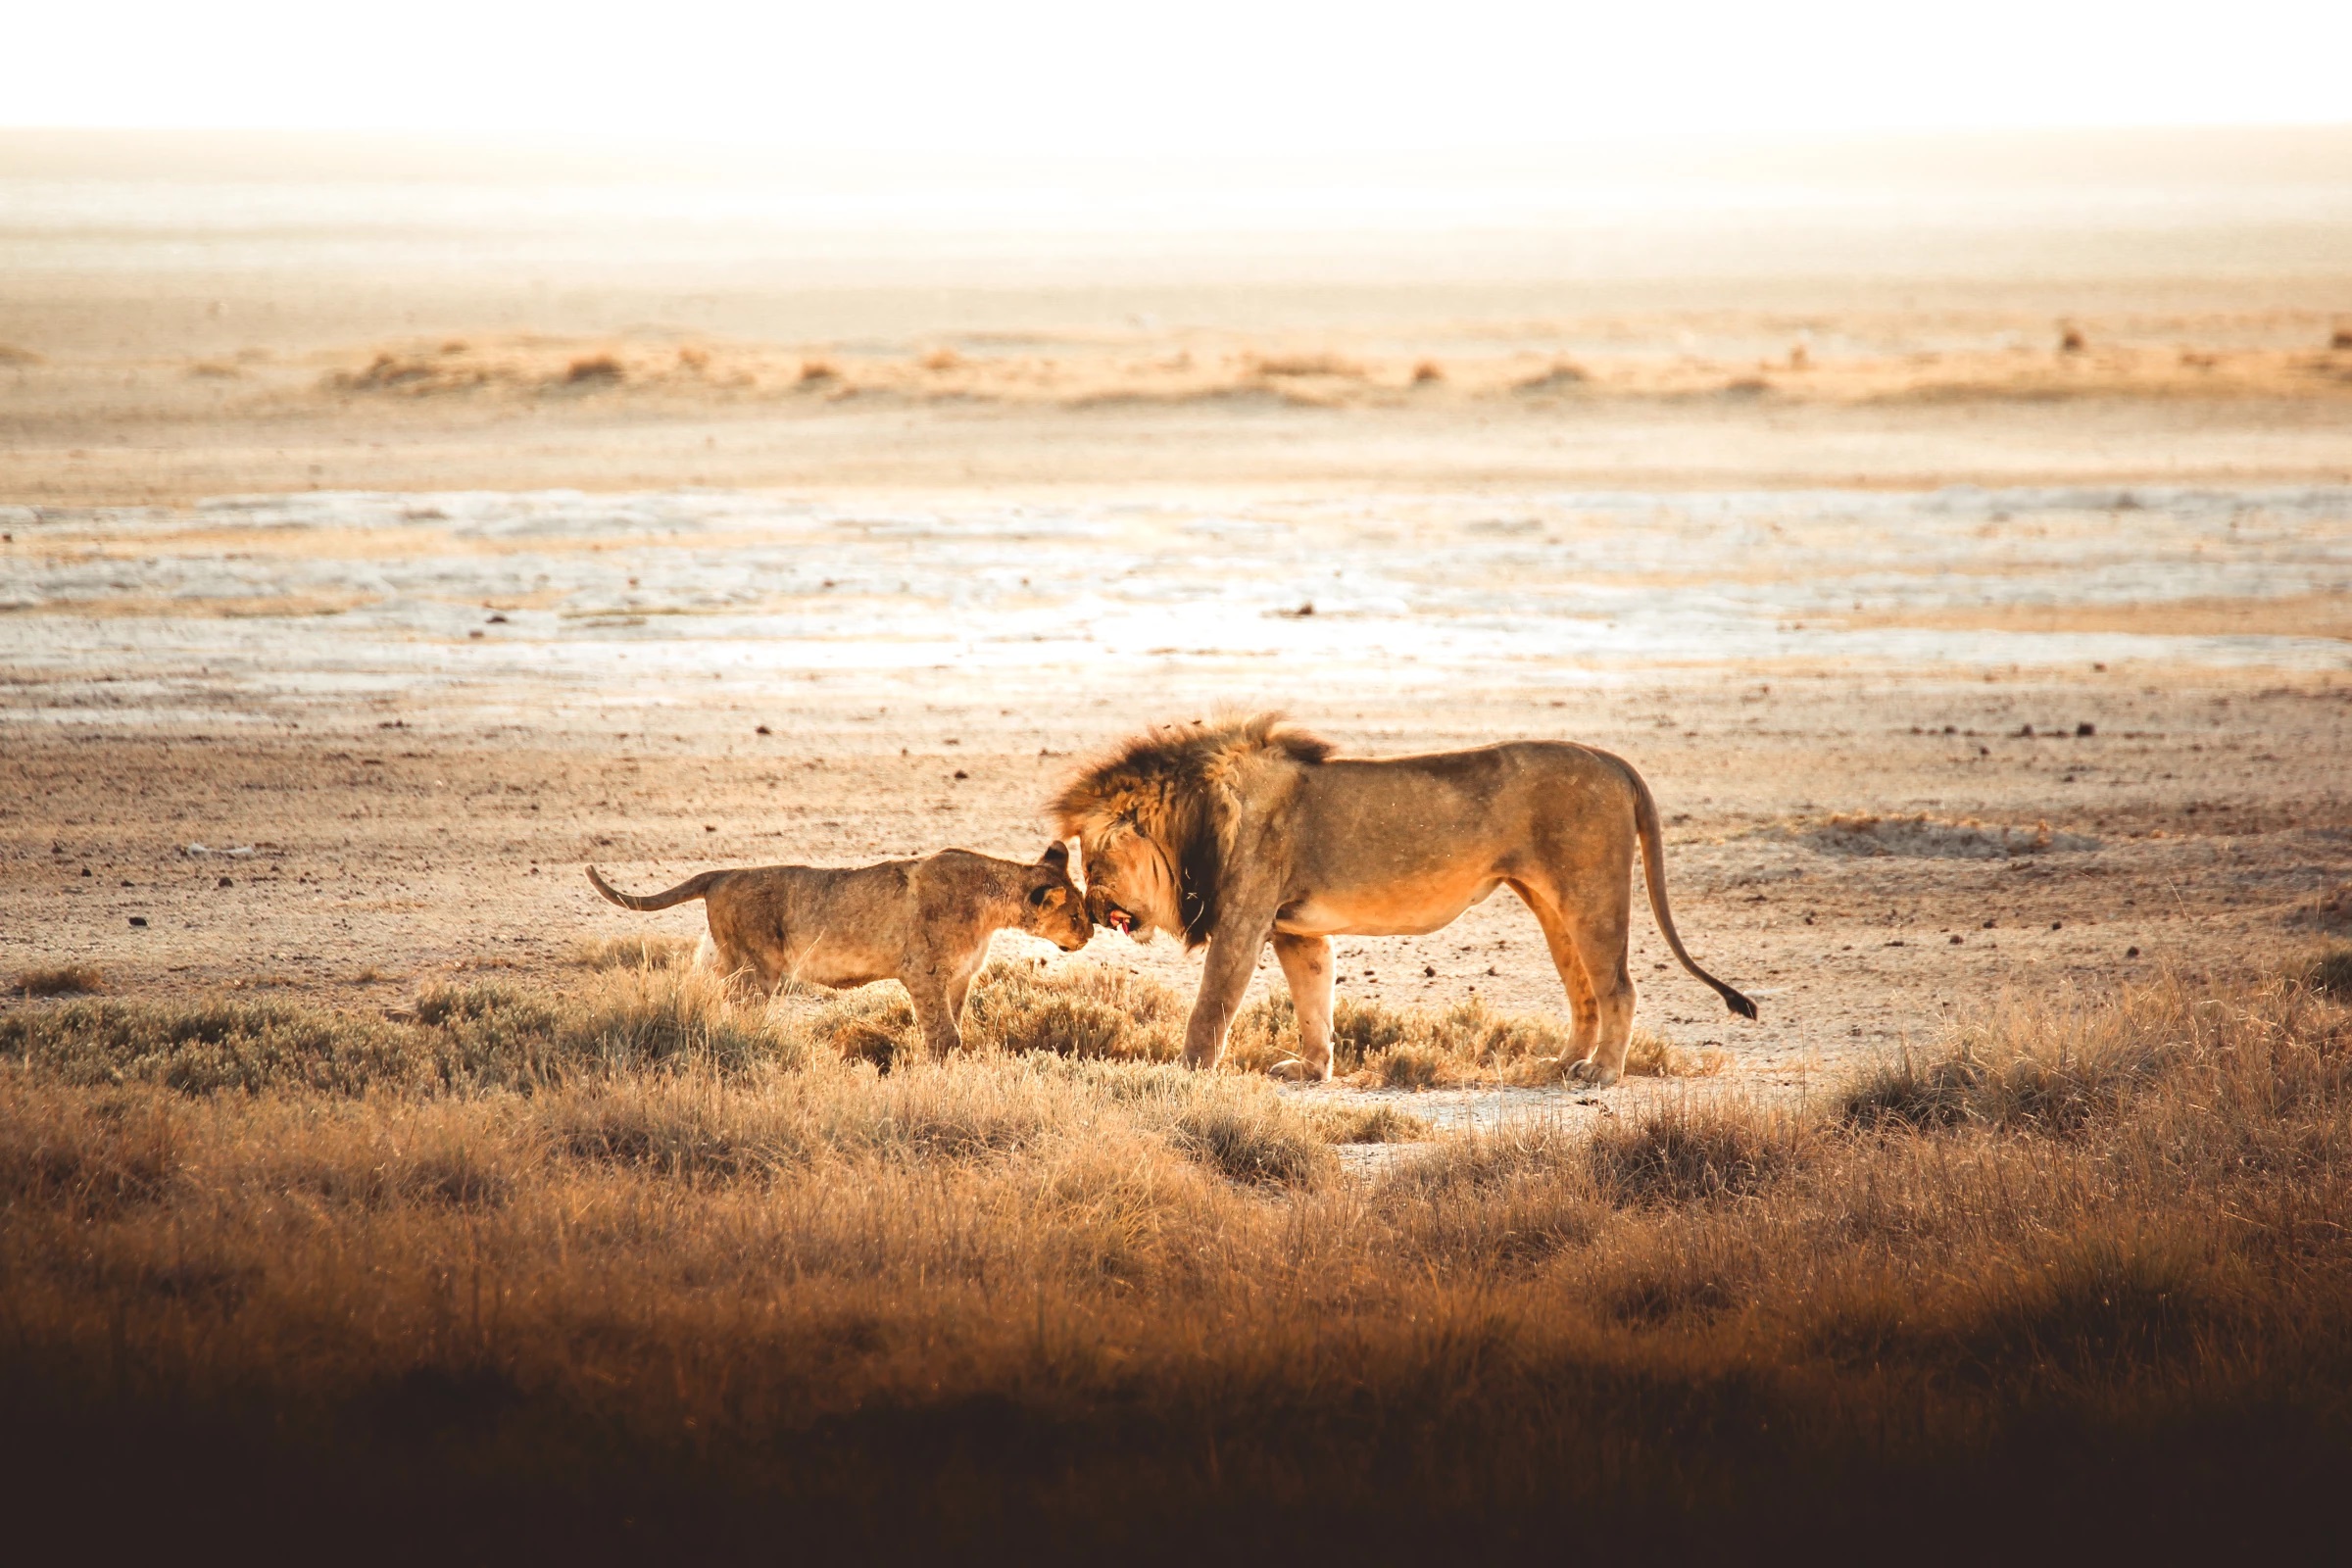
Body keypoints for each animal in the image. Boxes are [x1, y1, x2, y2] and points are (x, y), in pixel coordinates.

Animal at [592, 846, 1096, 1053]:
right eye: (1075, 914)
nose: (1090, 934)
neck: (992, 904)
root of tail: (722, 873)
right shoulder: (924, 972)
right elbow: (942, 1033)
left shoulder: (959, 977)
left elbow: (954, 1024)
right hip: (755, 969)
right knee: (736, 1011)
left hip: (725, 960)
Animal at [1058, 719, 1759, 1086]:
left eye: (1093, 863)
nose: (1090, 911)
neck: (1198, 817)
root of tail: (1611, 759)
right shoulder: (1295, 930)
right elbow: (1313, 1000)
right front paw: (1311, 1070)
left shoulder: (1242, 922)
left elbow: (1211, 1009)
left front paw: (1183, 1076)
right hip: (1548, 901)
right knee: (1584, 992)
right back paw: (1564, 1062)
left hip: (1591, 892)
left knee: (1618, 987)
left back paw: (1603, 1073)